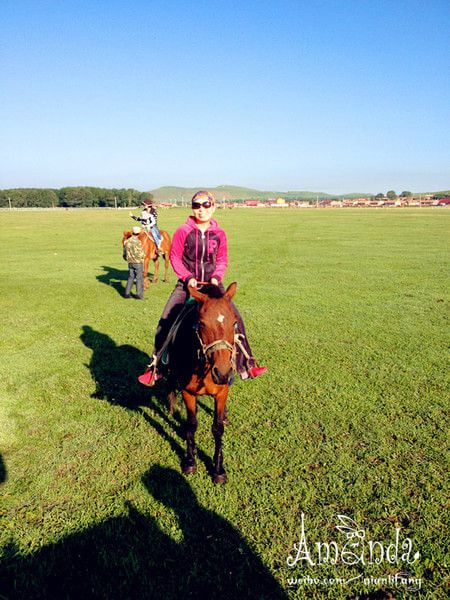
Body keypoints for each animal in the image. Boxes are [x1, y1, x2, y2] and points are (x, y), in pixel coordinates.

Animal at [164, 284, 236, 486]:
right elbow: (191, 425)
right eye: (202, 324)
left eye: (234, 323)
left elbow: (218, 428)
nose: (223, 373)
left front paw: (218, 469)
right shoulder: (188, 392)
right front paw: (190, 460)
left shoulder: (221, 393)